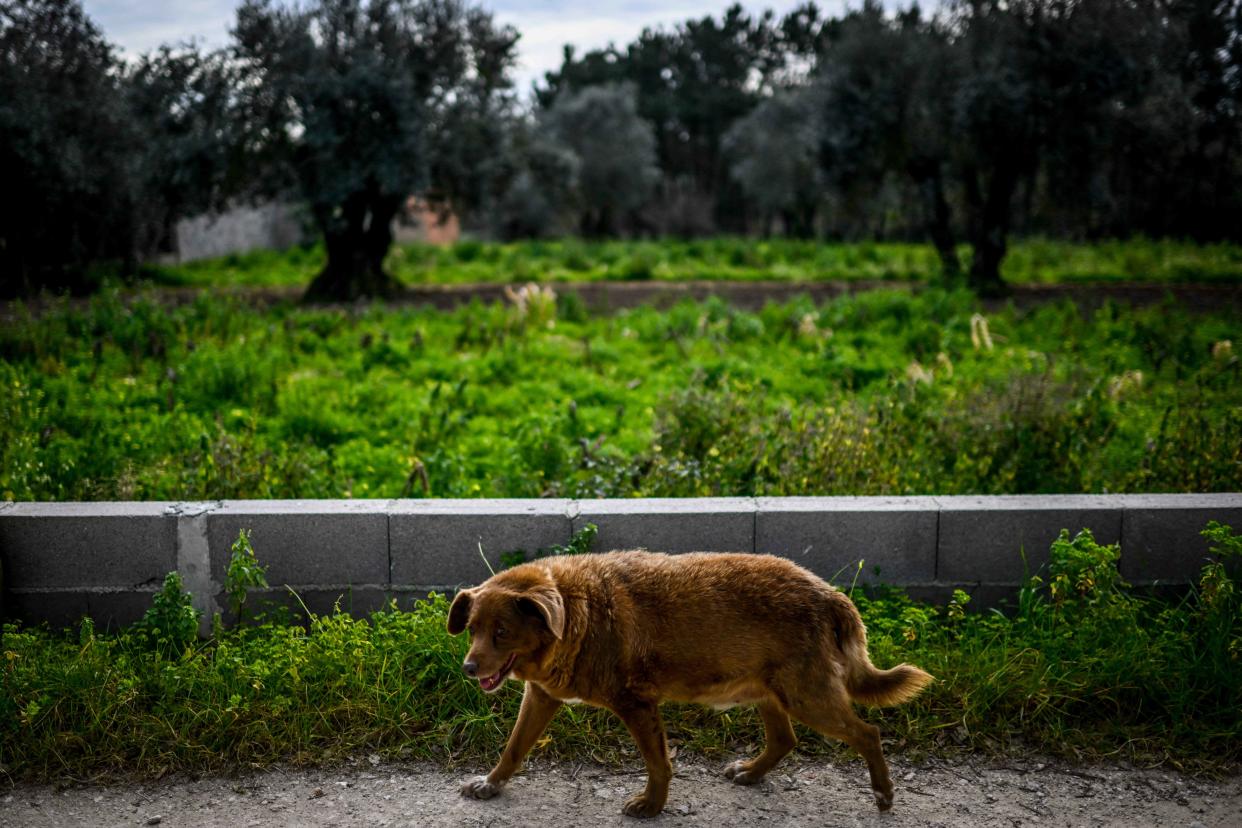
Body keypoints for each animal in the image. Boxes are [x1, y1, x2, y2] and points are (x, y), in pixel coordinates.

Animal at [449, 553, 933, 819]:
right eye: (472, 629)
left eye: (502, 633)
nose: (469, 668)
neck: (576, 614)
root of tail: (831, 594)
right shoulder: (542, 696)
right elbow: (513, 749)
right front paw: (491, 784)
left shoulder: (637, 703)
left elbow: (658, 763)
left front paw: (651, 806)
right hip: (768, 691)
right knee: (785, 739)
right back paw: (752, 772)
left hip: (806, 695)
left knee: (867, 733)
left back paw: (883, 793)